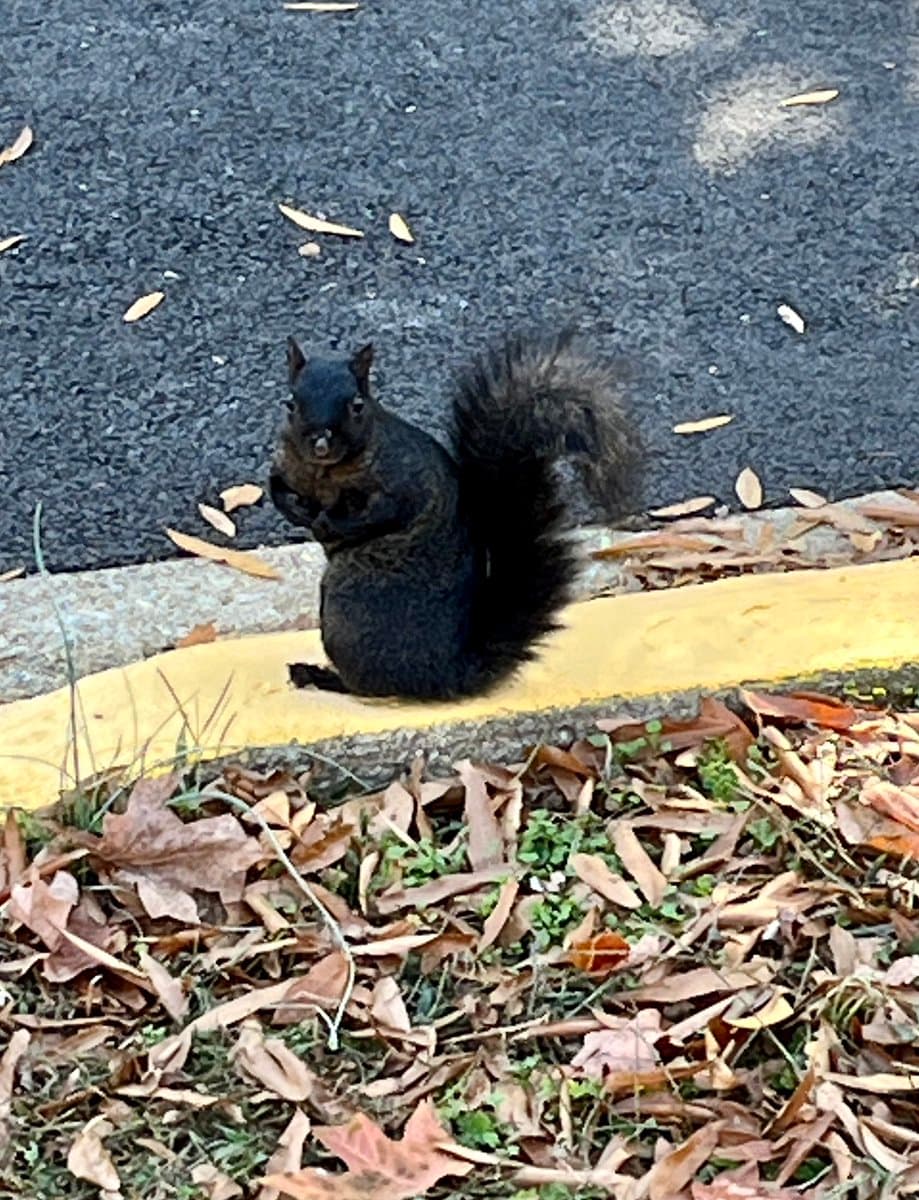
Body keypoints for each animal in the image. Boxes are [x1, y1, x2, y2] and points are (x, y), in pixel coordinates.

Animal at [268, 331, 640, 701]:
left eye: (357, 406)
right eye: (289, 404)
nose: (320, 444)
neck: (324, 473)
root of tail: (445, 673)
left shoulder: (403, 483)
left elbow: (380, 514)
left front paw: (327, 523)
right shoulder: (284, 466)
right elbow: (276, 490)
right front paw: (298, 511)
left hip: (350, 608)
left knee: (369, 687)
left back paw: (321, 677)